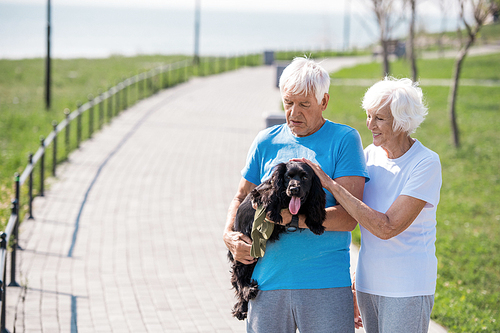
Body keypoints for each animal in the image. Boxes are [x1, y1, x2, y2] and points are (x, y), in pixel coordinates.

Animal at [228, 160, 328, 320]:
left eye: (305, 177)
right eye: (288, 177)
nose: (293, 189)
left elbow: (311, 207)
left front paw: (315, 223)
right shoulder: (261, 193)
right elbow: (269, 195)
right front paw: (273, 212)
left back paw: (242, 308)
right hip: (245, 251)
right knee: (237, 274)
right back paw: (247, 291)